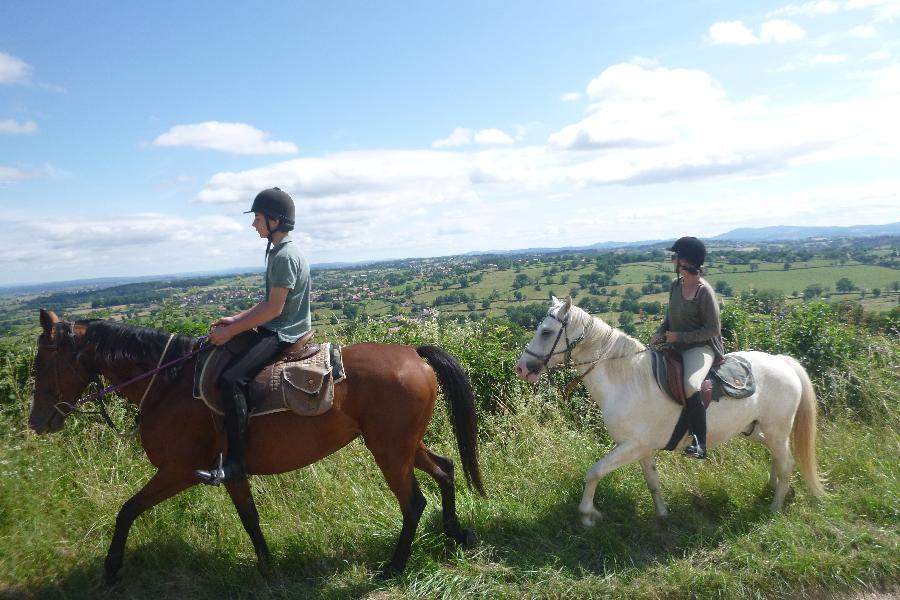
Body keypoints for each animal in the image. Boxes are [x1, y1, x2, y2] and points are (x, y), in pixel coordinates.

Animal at [28, 310, 486, 580]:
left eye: (41, 362)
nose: (37, 421)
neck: (168, 383)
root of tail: (414, 353)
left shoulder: (178, 470)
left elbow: (127, 510)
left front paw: (111, 566)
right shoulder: (227, 472)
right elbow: (249, 519)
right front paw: (267, 567)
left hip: (389, 451)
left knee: (413, 503)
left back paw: (394, 566)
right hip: (401, 445)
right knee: (445, 468)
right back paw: (456, 532)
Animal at [512, 298, 824, 528]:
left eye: (546, 332)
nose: (522, 368)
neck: (626, 379)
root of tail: (783, 362)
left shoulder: (631, 446)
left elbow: (594, 472)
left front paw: (588, 515)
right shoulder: (640, 448)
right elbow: (652, 482)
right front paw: (662, 513)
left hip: (776, 429)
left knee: (786, 463)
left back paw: (775, 507)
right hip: (756, 429)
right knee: (779, 458)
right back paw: (777, 489)